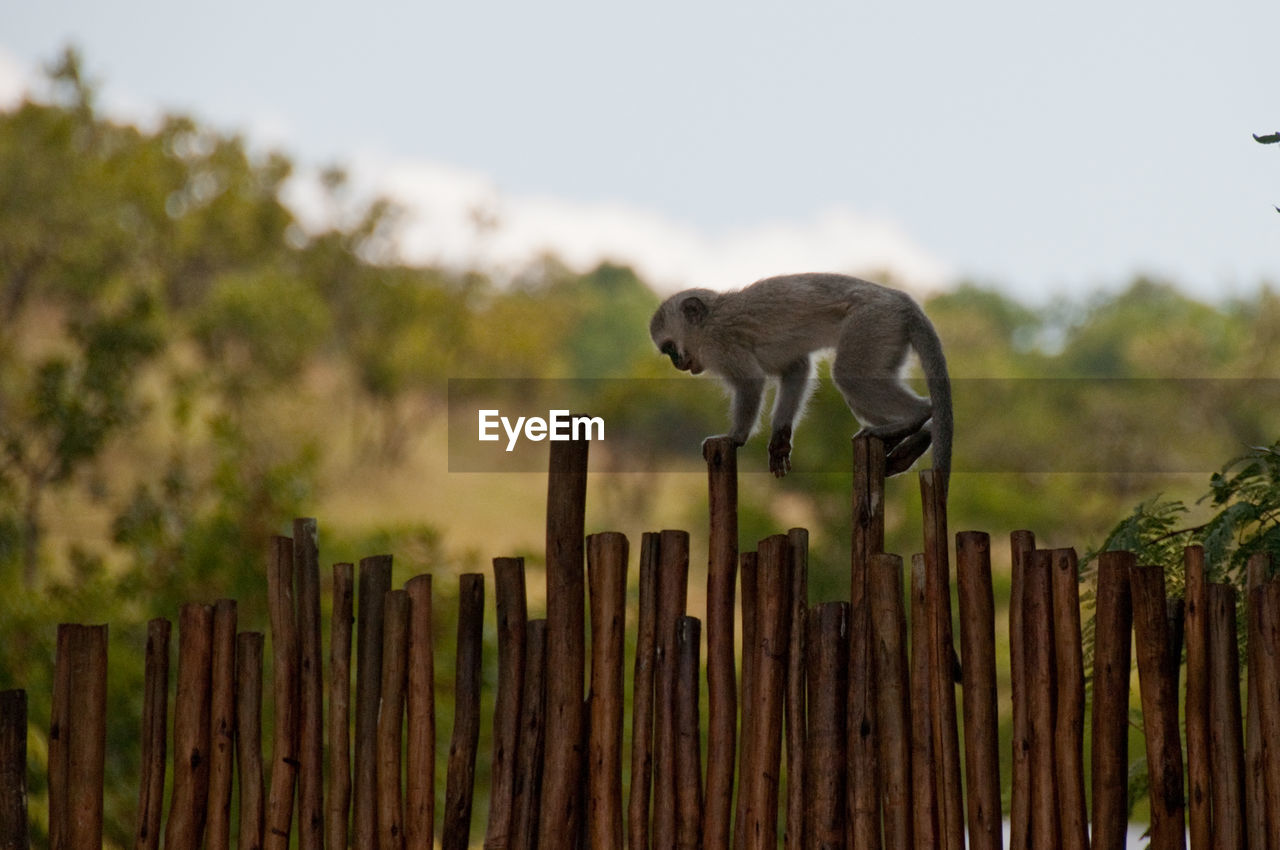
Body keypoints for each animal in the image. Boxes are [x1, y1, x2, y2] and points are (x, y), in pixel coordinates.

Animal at [650, 273, 952, 491]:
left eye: (671, 349)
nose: (677, 363)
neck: (710, 320)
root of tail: (903, 301)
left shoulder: (719, 344)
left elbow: (751, 382)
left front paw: (735, 437)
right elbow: (796, 368)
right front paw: (780, 439)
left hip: (873, 322)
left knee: (850, 375)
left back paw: (915, 418)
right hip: (888, 334)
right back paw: (916, 438)